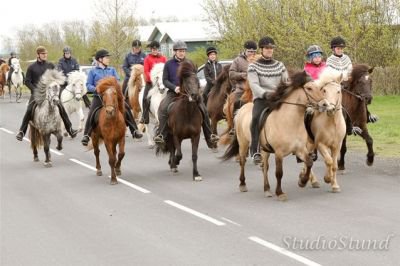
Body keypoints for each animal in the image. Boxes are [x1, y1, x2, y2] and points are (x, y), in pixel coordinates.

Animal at [222, 71, 332, 201]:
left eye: (320, 88)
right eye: (309, 88)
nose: (325, 104)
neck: (290, 121)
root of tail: (241, 109)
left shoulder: (300, 149)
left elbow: (309, 162)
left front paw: (302, 182)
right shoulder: (279, 152)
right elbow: (279, 173)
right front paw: (280, 193)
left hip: (264, 150)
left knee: (265, 167)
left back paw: (267, 189)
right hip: (243, 144)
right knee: (243, 162)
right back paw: (243, 184)